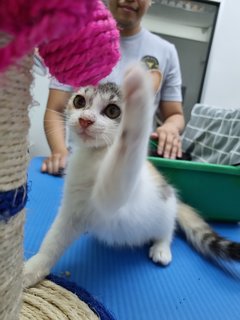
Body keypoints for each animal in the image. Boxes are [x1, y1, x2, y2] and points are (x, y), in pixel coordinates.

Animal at [24, 64, 240, 288]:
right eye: (79, 101)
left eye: (112, 111)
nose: (85, 120)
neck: (94, 157)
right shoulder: (72, 210)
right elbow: (53, 240)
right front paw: (31, 270)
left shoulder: (114, 200)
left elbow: (125, 153)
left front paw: (139, 100)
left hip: (164, 208)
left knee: (168, 229)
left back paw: (161, 248)